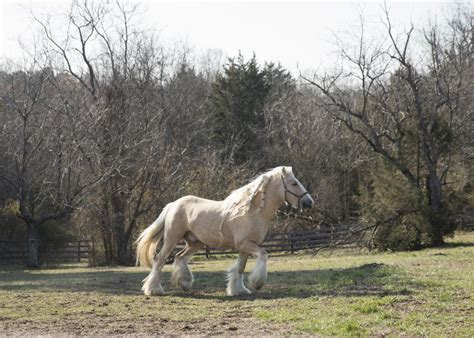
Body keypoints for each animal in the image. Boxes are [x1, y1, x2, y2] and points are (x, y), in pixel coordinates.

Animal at [136, 166, 314, 296]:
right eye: (294, 183)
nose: (309, 202)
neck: (253, 212)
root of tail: (173, 204)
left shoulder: (246, 247)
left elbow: (240, 268)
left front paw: (238, 290)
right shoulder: (245, 244)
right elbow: (263, 255)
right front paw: (257, 283)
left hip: (195, 243)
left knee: (180, 257)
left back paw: (184, 283)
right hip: (172, 239)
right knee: (160, 260)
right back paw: (153, 289)